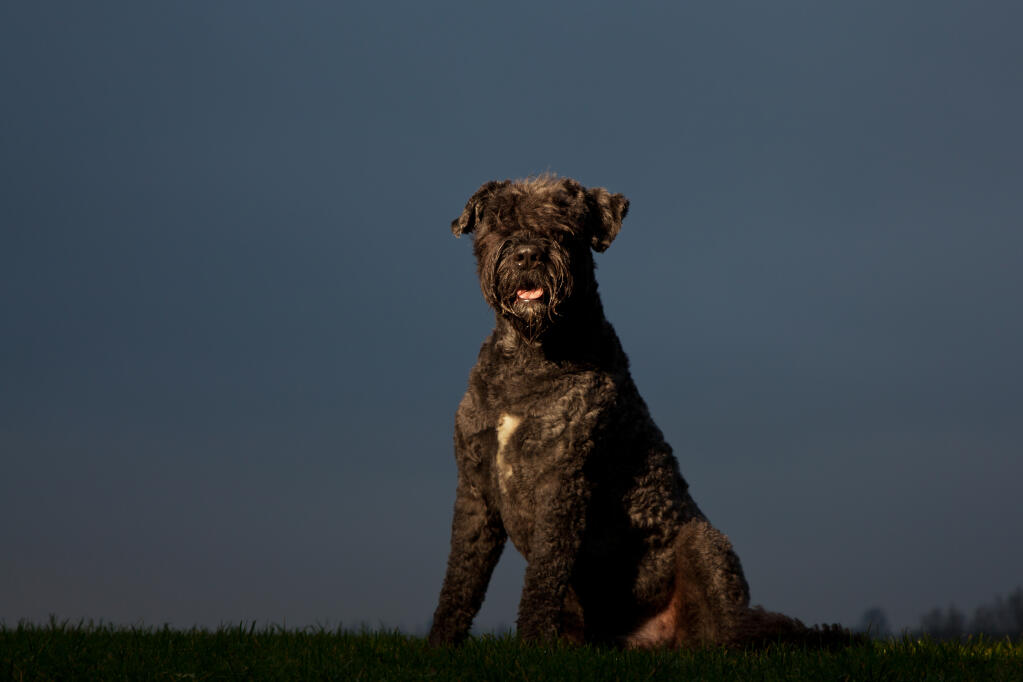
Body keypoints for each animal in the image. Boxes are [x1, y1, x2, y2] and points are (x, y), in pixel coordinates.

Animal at [427, 173, 834, 650]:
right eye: (498, 221)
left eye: (563, 224)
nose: (528, 253)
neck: (531, 358)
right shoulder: (476, 489)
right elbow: (461, 578)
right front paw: (441, 644)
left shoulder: (562, 486)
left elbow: (543, 577)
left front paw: (532, 644)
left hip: (705, 546)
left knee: (725, 633)